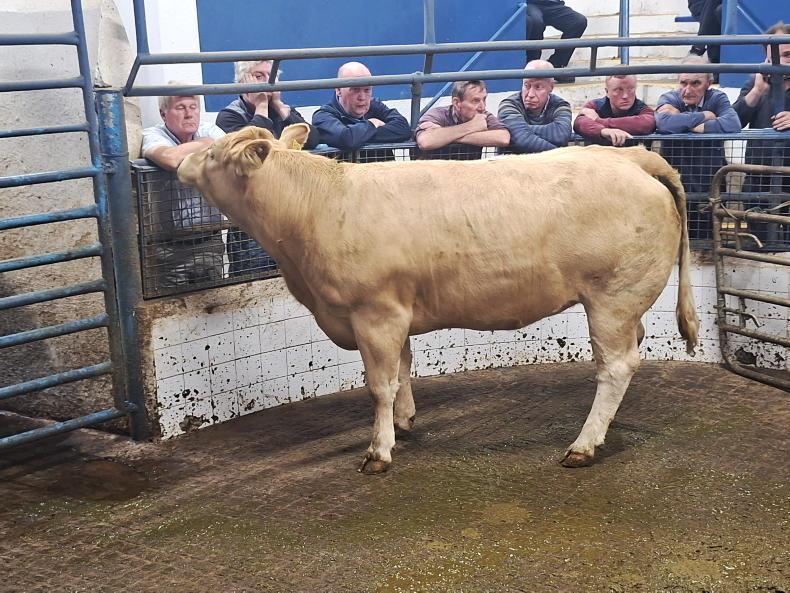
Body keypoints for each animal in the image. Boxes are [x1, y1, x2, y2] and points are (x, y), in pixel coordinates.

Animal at [177, 123, 699, 474]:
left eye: (213, 154)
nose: (179, 161)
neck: (317, 204)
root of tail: (631, 158)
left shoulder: (374, 312)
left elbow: (379, 384)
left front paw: (379, 451)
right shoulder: (396, 310)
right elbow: (403, 370)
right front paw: (405, 422)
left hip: (611, 298)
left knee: (616, 366)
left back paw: (584, 444)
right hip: (625, 300)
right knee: (632, 351)